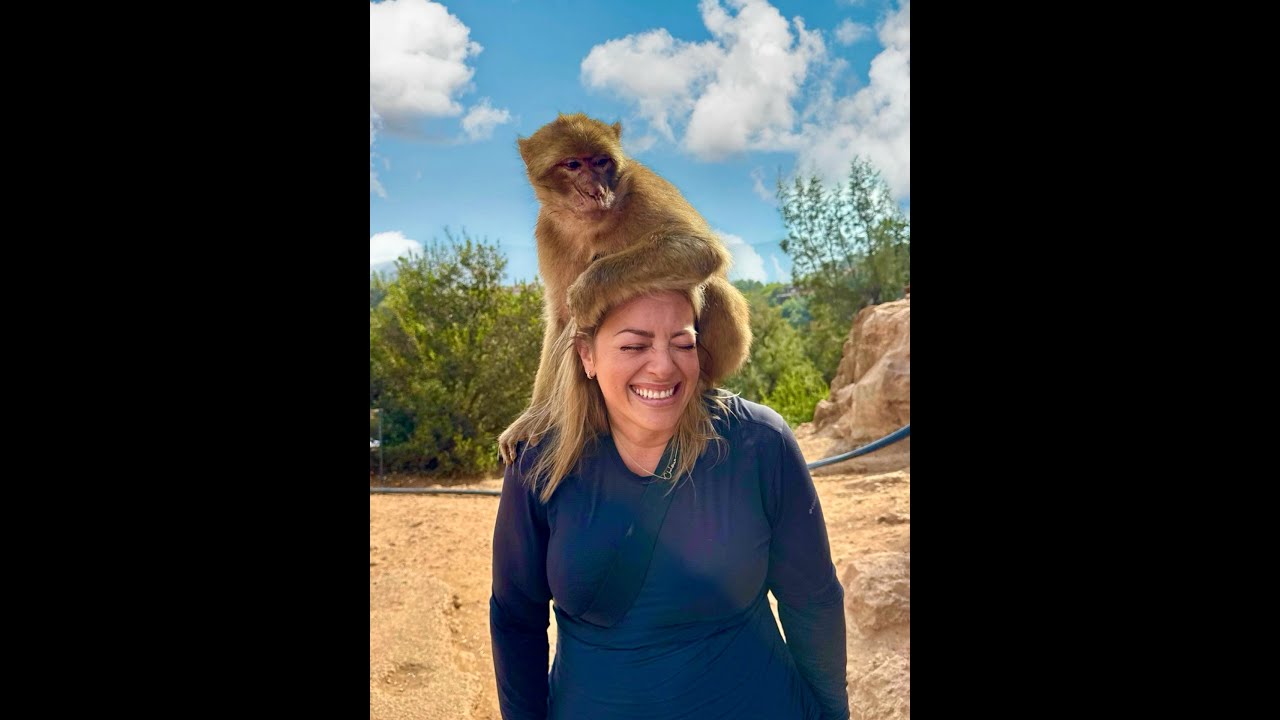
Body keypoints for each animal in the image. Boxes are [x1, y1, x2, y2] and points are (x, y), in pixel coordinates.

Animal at [497, 113, 751, 464]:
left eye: (602, 161)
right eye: (573, 164)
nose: (596, 190)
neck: (590, 225)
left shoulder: (642, 190)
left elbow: (700, 250)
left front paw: (588, 290)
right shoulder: (547, 231)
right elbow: (560, 318)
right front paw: (536, 416)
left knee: (714, 289)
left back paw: (702, 384)